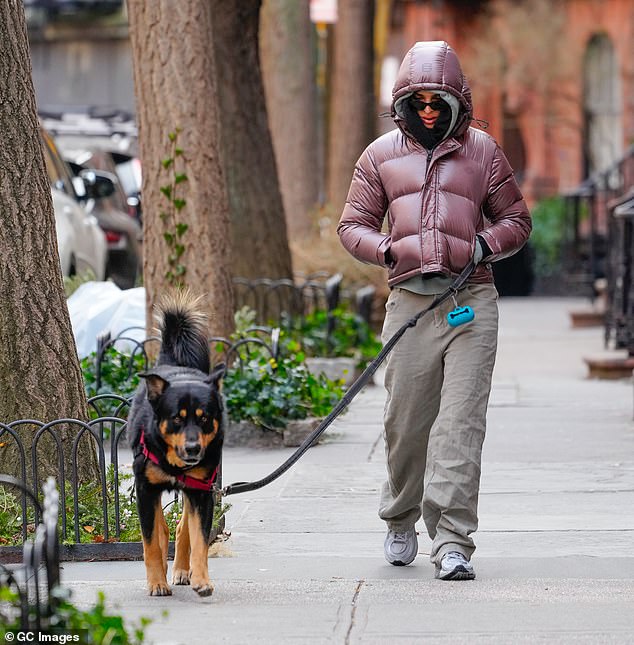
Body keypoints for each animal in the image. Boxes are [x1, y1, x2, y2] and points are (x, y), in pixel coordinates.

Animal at [128, 292, 225, 600]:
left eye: (204, 418)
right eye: (176, 419)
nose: (193, 449)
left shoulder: (202, 493)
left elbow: (200, 540)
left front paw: (201, 579)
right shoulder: (145, 490)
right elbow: (150, 542)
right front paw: (157, 582)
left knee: (182, 527)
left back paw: (182, 570)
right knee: (161, 529)